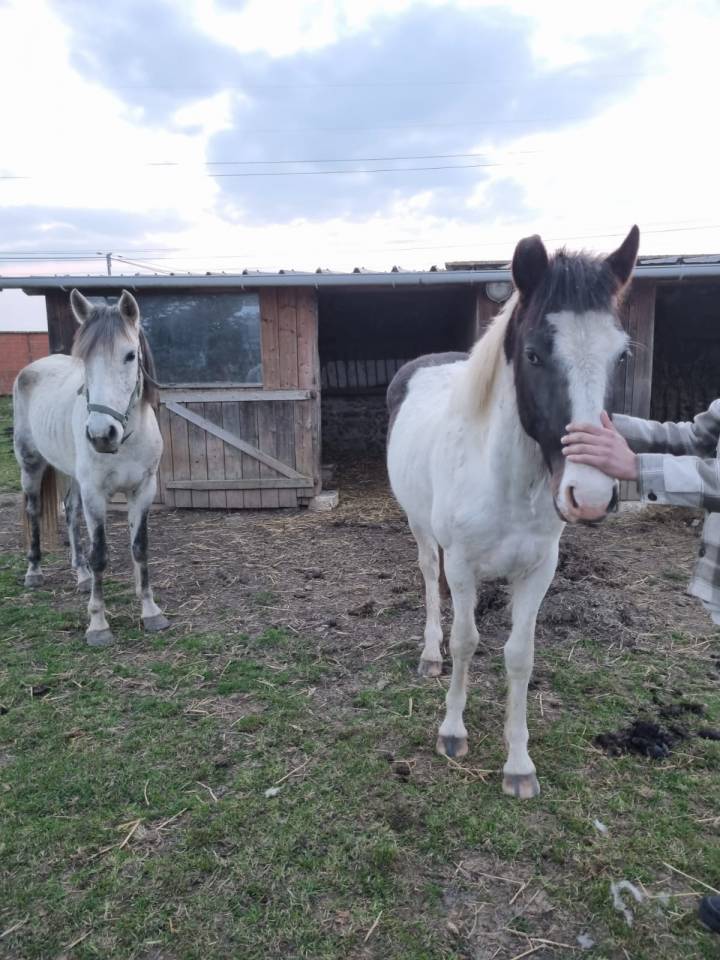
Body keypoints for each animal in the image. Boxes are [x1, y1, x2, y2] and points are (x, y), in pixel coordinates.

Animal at [13, 289, 170, 647]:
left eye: (130, 356)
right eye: (84, 360)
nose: (101, 435)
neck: (126, 439)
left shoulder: (143, 490)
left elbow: (140, 548)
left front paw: (150, 610)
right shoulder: (96, 493)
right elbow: (101, 554)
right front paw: (98, 624)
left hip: (72, 475)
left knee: (70, 513)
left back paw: (81, 575)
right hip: (30, 463)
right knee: (33, 511)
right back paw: (34, 571)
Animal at [386, 226, 639, 799]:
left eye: (621, 356)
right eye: (534, 354)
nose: (591, 495)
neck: (506, 484)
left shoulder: (538, 570)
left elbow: (519, 656)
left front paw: (519, 764)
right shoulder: (461, 565)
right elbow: (466, 641)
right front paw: (452, 732)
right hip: (419, 528)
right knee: (428, 578)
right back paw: (429, 655)